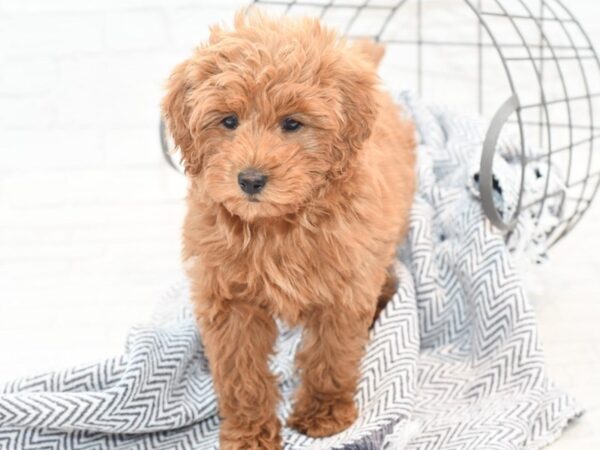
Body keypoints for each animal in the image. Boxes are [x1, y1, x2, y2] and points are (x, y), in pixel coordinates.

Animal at [162, 10, 414, 450]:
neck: (276, 226)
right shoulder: (229, 300)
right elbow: (241, 371)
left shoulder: (343, 291)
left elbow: (332, 354)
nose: (250, 180)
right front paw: (249, 431)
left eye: (292, 123)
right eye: (228, 121)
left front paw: (324, 414)